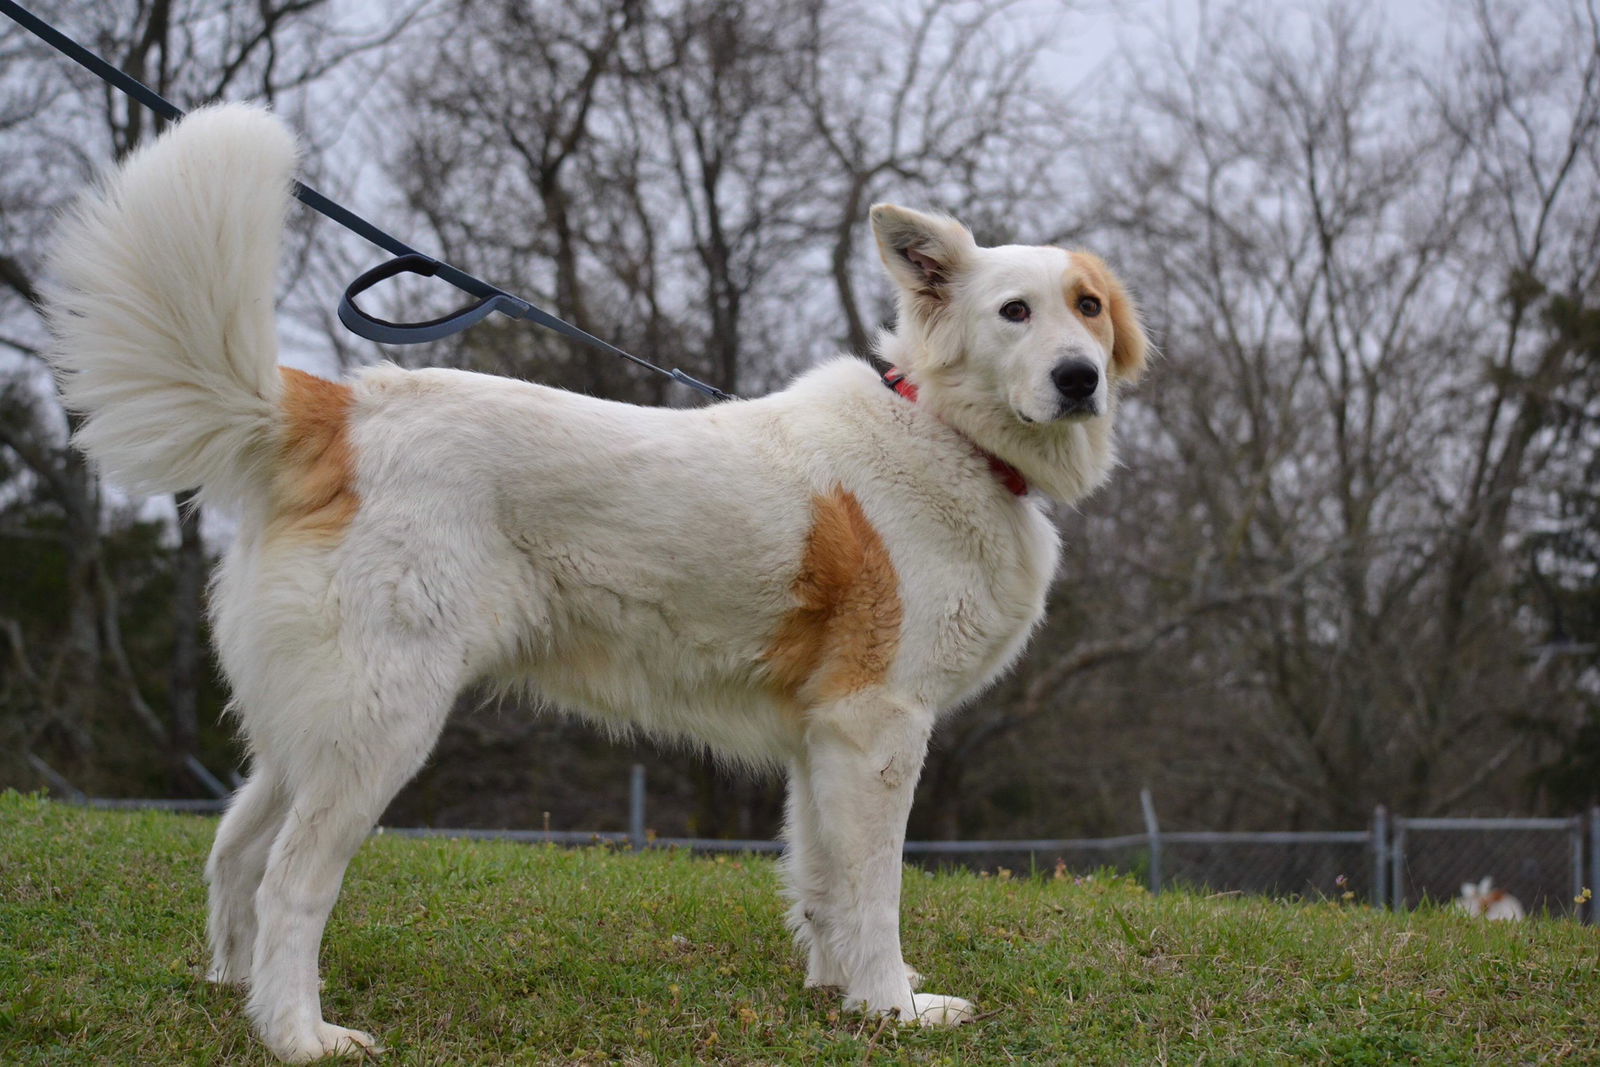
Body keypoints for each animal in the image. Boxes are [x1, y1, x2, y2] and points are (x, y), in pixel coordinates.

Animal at [46, 106, 1152, 1062]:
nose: (1078, 378)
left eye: (1088, 309)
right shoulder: (876, 726)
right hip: (381, 728)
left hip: (315, 725)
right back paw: (298, 1033)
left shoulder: (821, 740)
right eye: (1014, 313)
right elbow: (874, 889)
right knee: (289, 881)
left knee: (235, 848)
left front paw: (841, 995)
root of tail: (341, 409)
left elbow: (823, 881)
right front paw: (892, 1005)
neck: (948, 432)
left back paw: (236, 993)